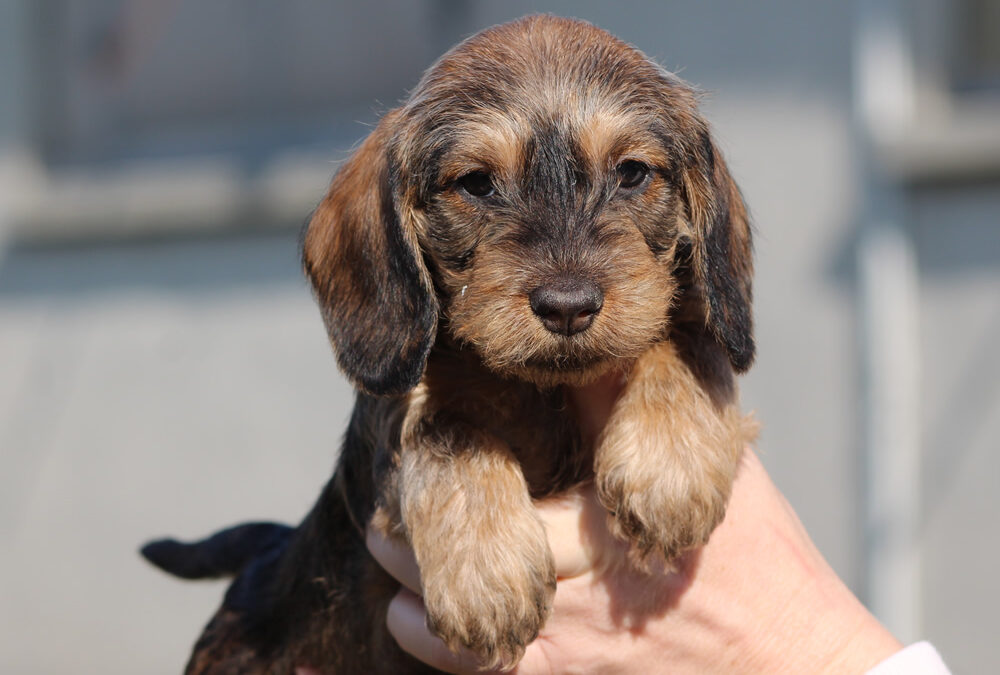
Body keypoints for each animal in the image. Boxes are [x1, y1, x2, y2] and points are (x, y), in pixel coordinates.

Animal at [143, 15, 756, 675]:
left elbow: (691, 343)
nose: (567, 305)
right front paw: (488, 578)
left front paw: (668, 471)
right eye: (477, 183)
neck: (544, 392)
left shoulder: (688, 325)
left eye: (633, 173)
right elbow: (452, 433)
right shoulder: (394, 421)